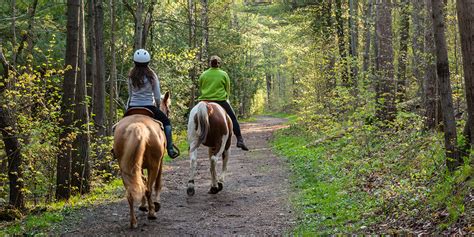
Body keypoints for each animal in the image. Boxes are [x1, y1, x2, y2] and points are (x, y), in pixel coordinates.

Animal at [113, 91, 172, 228]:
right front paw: (155, 205)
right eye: (168, 109)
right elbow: (157, 183)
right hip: (154, 165)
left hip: (124, 167)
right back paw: (152, 213)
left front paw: (143, 205)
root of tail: (137, 125)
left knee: (131, 192)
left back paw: (133, 221)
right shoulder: (160, 162)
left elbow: (141, 181)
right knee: (149, 188)